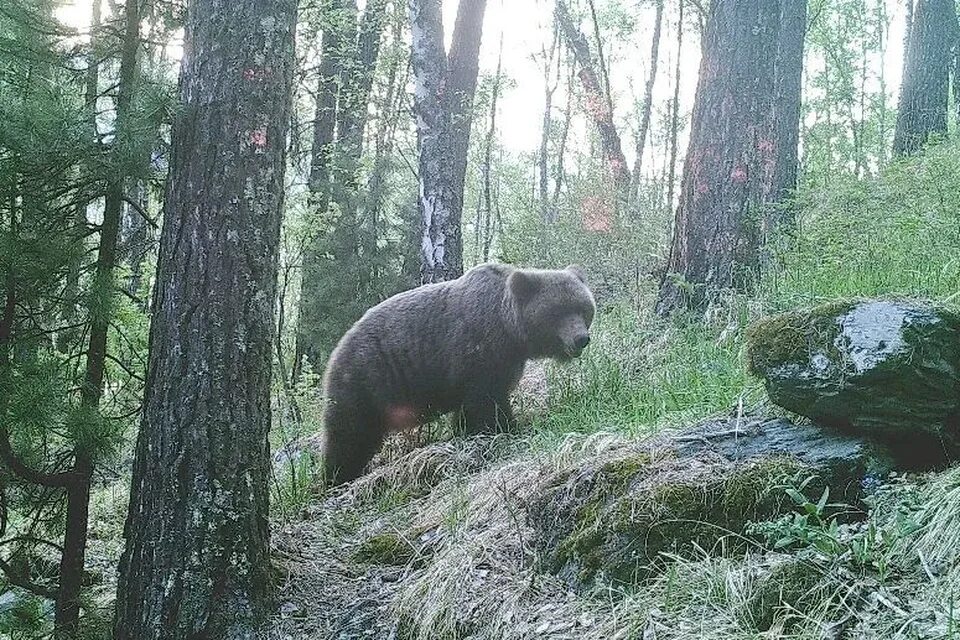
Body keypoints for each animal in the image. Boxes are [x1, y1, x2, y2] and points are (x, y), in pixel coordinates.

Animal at [320, 262, 592, 482]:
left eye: (583, 308)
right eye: (558, 311)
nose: (581, 339)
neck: (509, 330)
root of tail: (338, 347)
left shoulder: (504, 361)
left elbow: (481, 401)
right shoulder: (475, 350)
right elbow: (486, 402)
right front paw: (504, 428)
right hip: (365, 379)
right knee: (349, 433)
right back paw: (338, 475)